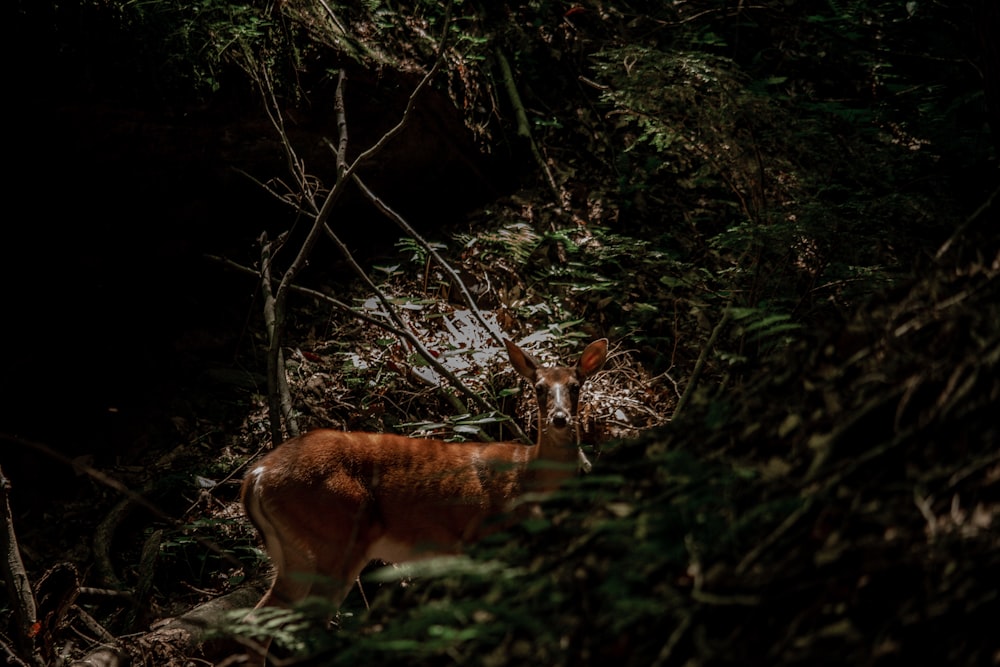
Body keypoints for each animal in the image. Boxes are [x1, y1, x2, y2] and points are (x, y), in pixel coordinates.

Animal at [242, 336, 608, 660]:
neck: (529, 476)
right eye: (539, 387)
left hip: (295, 552)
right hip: (334, 539)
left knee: (257, 622)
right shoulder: (480, 537)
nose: (559, 419)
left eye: (575, 386)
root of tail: (256, 475)